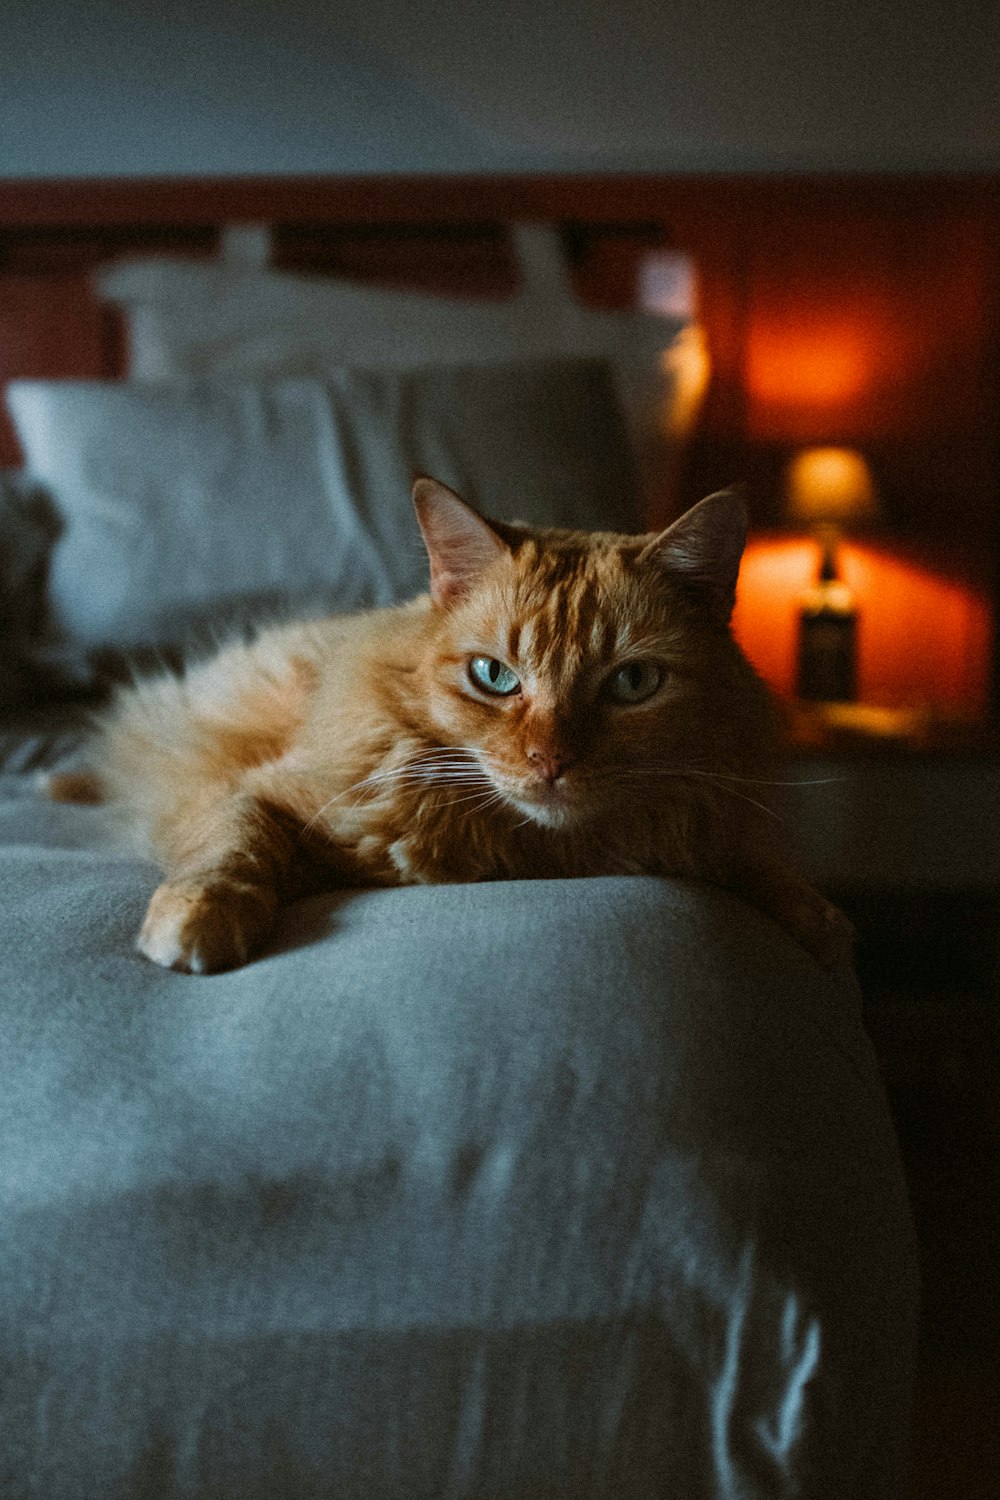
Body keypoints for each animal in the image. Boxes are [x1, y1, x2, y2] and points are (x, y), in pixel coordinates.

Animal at [50, 474, 857, 978]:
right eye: (494, 677)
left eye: (632, 684)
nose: (549, 762)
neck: (542, 853)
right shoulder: (257, 794)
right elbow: (230, 850)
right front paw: (199, 917)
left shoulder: (711, 818)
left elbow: (762, 869)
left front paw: (820, 926)